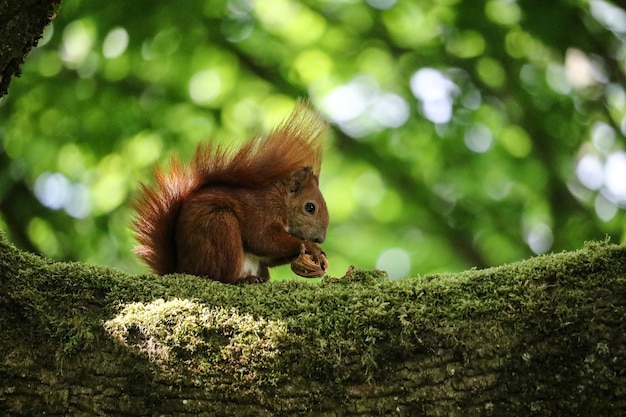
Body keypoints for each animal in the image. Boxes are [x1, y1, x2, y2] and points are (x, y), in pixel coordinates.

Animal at [130, 101, 326, 282]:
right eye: (310, 207)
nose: (320, 239)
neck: (279, 201)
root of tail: (183, 269)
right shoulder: (260, 211)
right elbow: (262, 239)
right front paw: (310, 247)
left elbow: (267, 254)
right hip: (221, 227)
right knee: (223, 277)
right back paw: (243, 280)